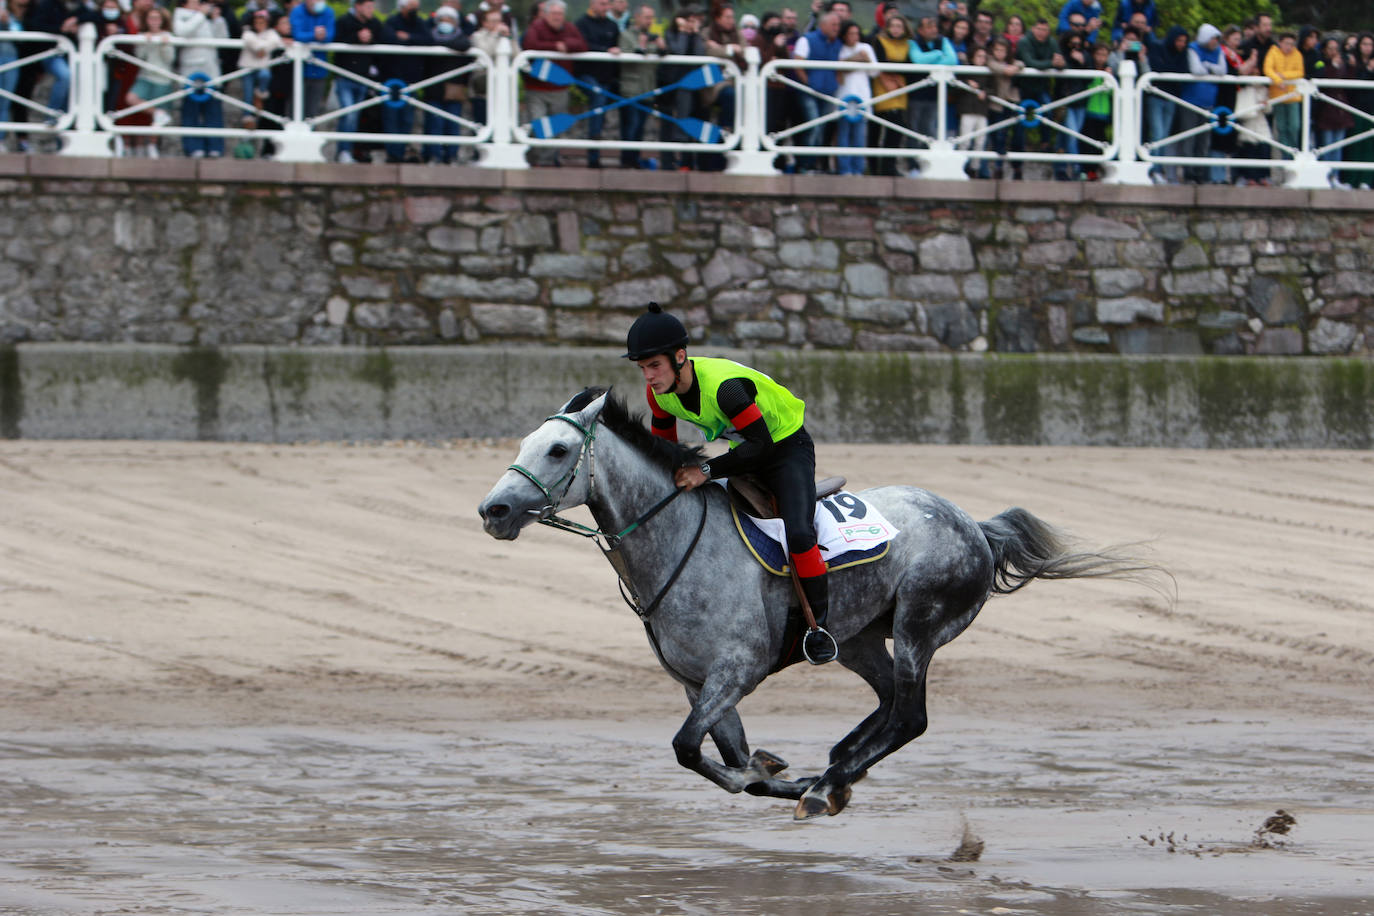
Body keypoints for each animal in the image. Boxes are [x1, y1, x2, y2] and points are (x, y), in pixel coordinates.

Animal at [478, 390, 1154, 818]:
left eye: (558, 451)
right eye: (527, 442)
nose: (494, 510)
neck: (677, 542)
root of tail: (973, 526)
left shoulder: (738, 670)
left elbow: (690, 750)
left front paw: (789, 778)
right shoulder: (700, 685)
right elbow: (729, 763)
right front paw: (773, 769)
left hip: (919, 626)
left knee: (909, 717)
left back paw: (830, 783)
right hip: (859, 639)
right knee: (886, 705)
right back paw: (837, 767)